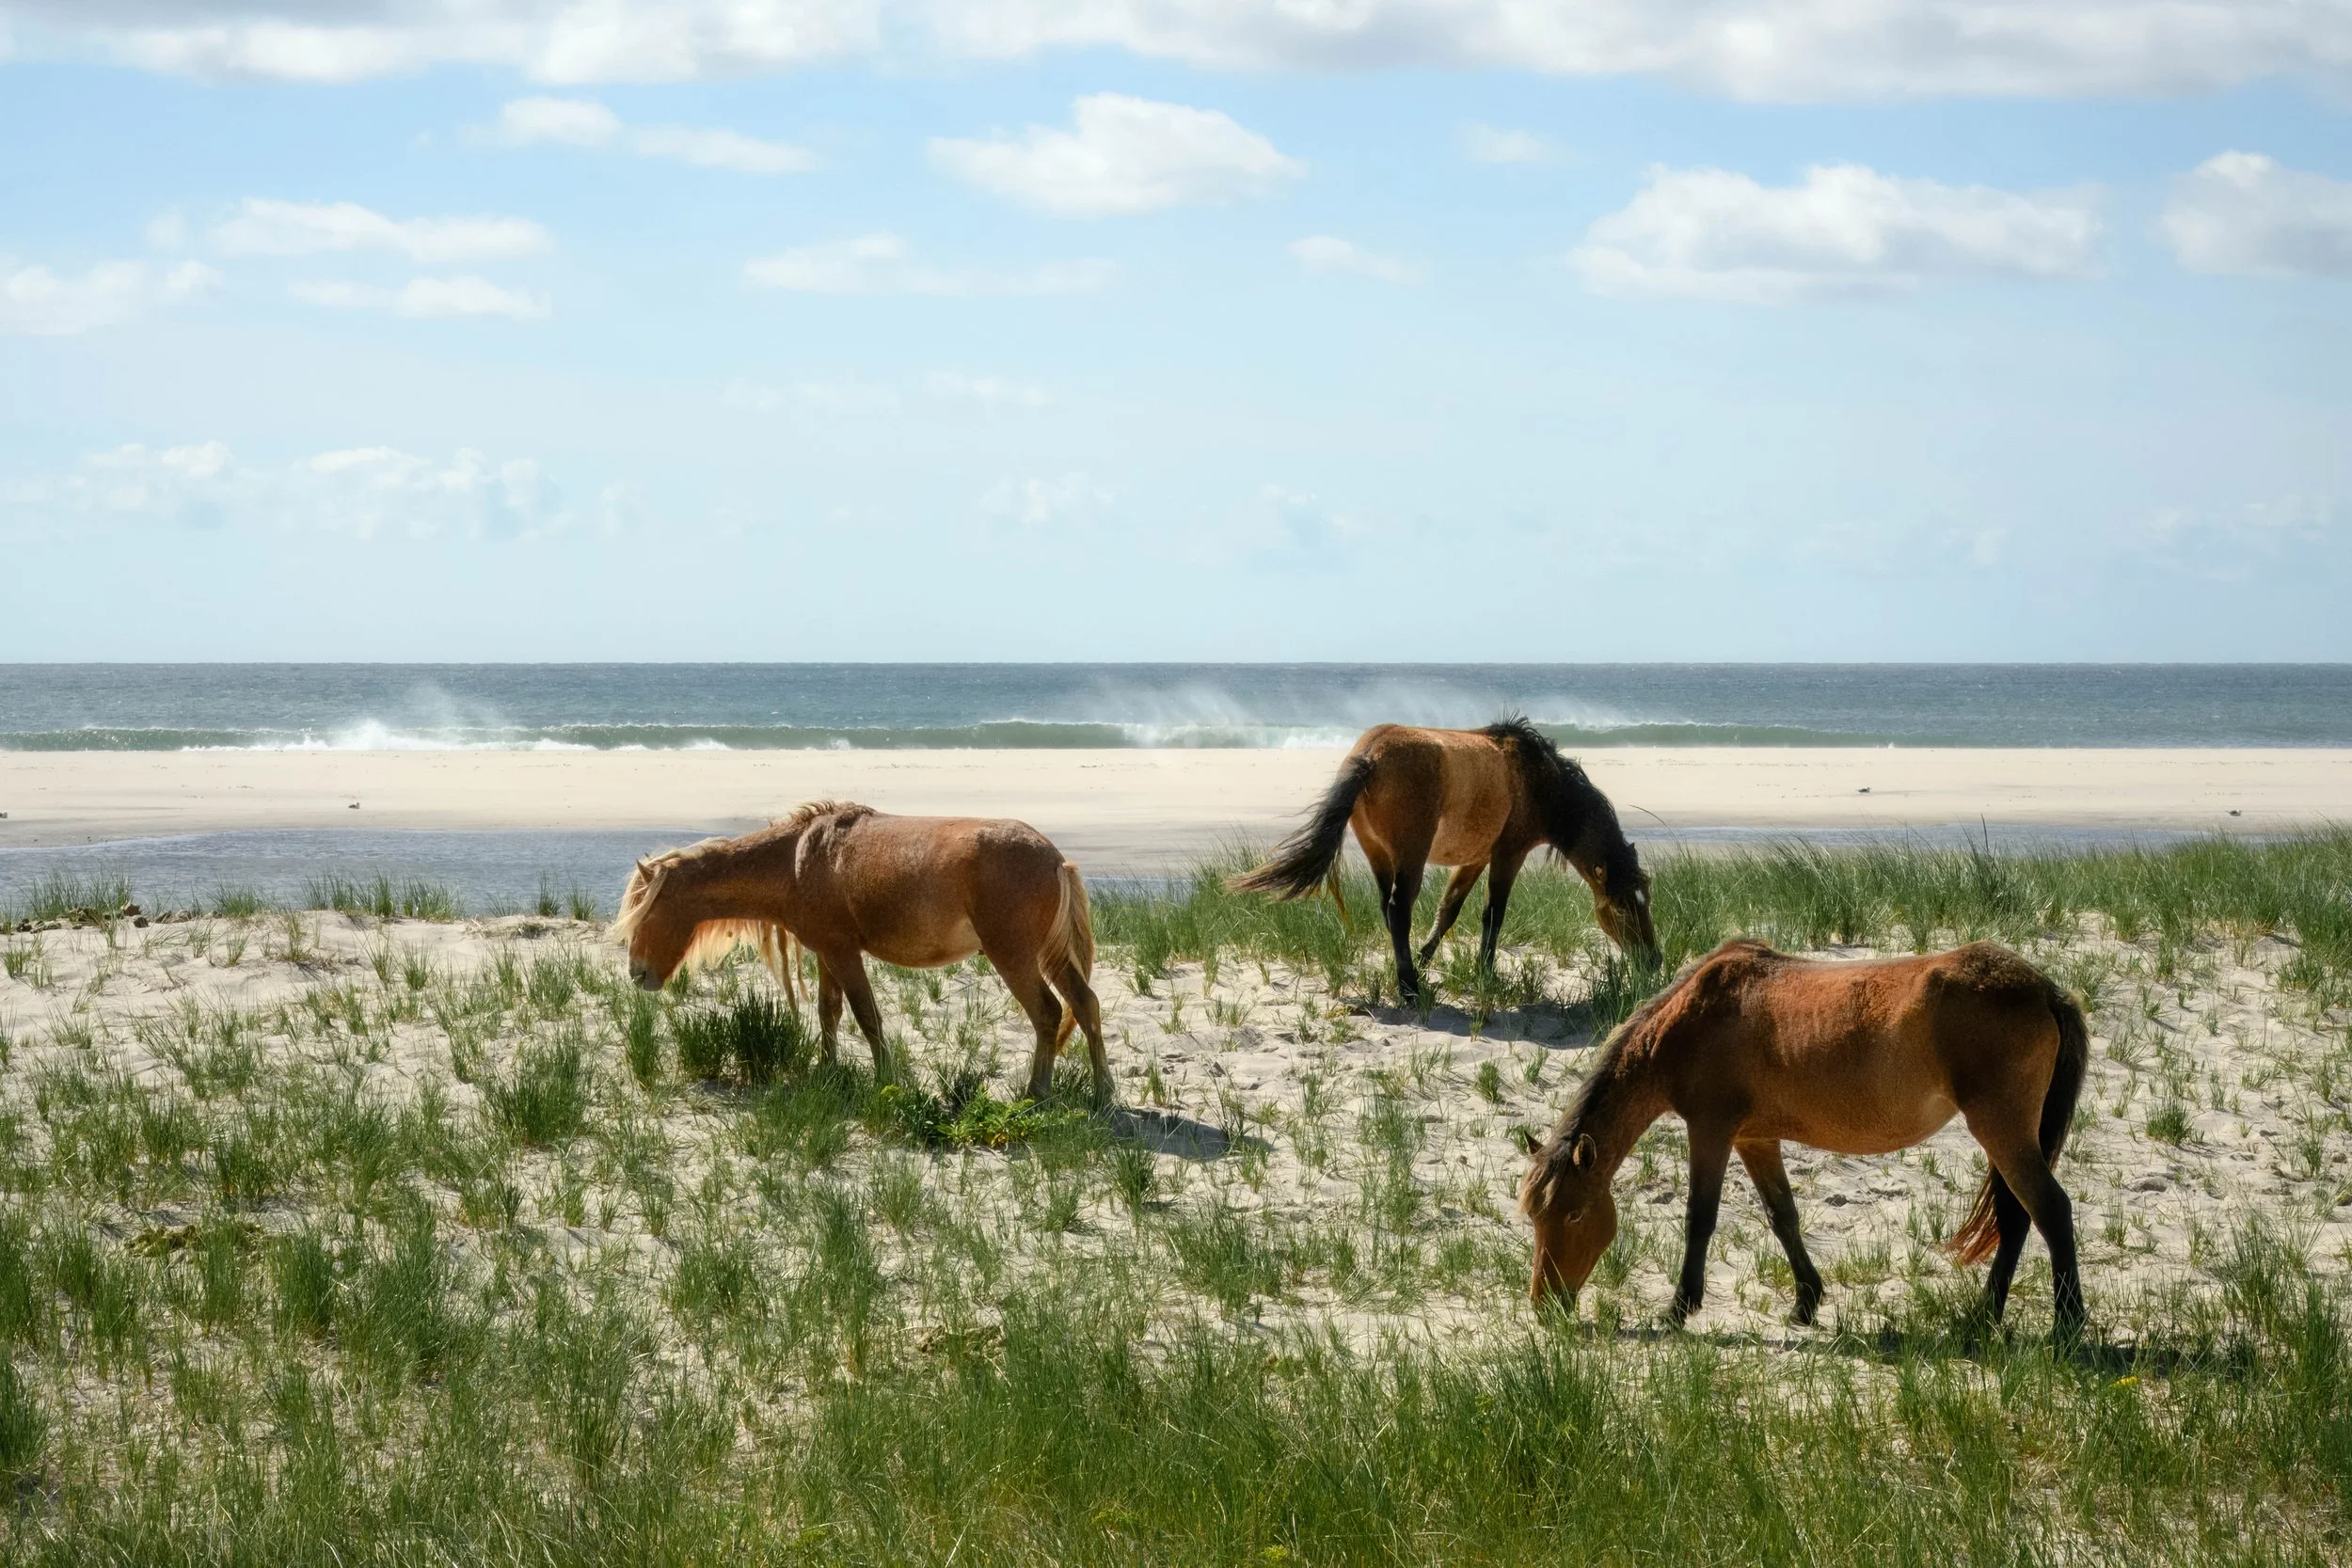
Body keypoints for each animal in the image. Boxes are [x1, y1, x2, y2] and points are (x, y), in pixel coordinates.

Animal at [612, 802, 1112, 1108]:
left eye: (644, 916)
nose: (637, 974)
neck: (796, 860)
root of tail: (1055, 858)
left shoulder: (843, 952)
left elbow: (866, 1016)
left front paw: (886, 1081)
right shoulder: (827, 953)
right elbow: (828, 1012)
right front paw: (828, 1072)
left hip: (1013, 956)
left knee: (1048, 1012)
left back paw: (1036, 1094)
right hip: (1048, 956)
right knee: (1085, 1005)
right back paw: (1103, 1094)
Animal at [1228, 717, 1657, 1006]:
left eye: (1645, 900)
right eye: (1621, 909)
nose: (1654, 962)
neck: (1540, 781)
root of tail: (1368, 756)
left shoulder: (1476, 858)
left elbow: (1449, 909)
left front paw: (1426, 959)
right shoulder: (1509, 854)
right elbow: (1492, 914)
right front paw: (1485, 973)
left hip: (1379, 855)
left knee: (1387, 910)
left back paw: (1407, 976)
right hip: (1411, 858)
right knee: (1399, 911)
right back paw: (1410, 991)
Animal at [1520, 938, 2089, 1336]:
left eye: (1574, 1214)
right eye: (1535, 1216)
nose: (1544, 1305)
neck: (1690, 1018)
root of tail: (2045, 988)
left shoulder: (1711, 1131)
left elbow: (1699, 1218)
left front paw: (1679, 1307)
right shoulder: (1753, 1140)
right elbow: (1783, 1217)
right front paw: (1805, 1301)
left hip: (2001, 1128)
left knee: (2048, 1210)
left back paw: (2065, 1325)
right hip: (2008, 1133)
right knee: (2017, 1217)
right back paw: (1984, 1316)